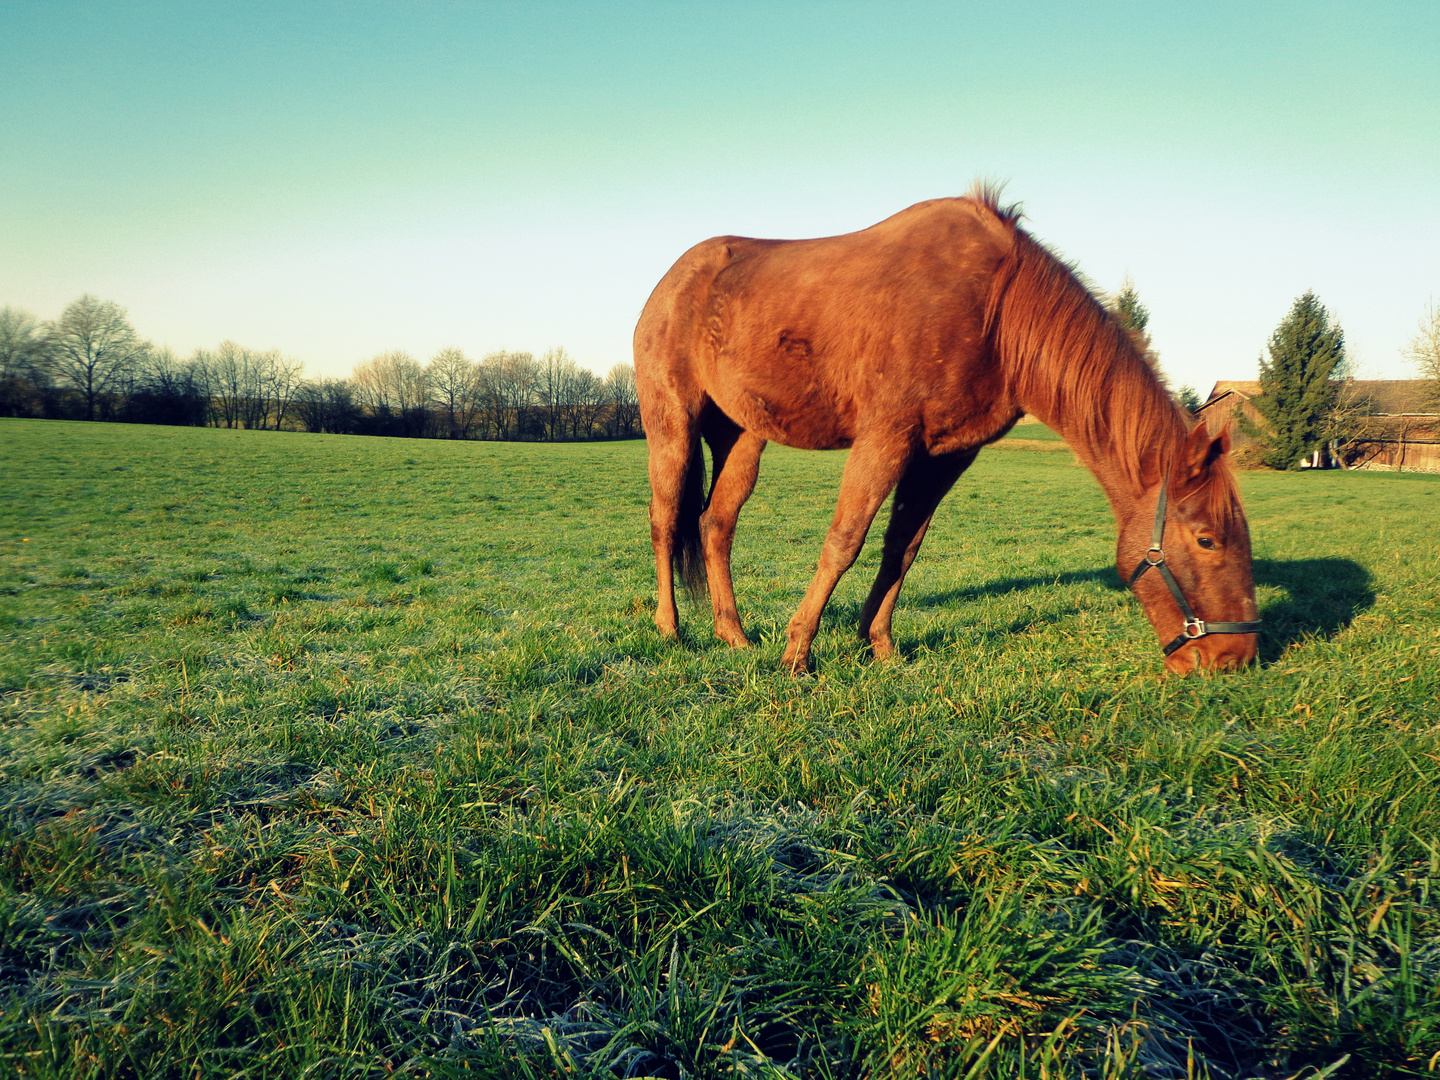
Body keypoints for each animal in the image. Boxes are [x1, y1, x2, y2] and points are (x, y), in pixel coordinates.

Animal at [636, 187, 1255, 676]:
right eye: (1207, 539)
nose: (1233, 660)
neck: (996, 308)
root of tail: (670, 280)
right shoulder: (885, 438)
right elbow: (844, 541)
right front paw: (799, 654)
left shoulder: (945, 455)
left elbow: (901, 550)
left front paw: (879, 646)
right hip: (673, 425)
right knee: (666, 520)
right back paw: (670, 629)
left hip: (743, 436)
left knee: (715, 524)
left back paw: (733, 635)